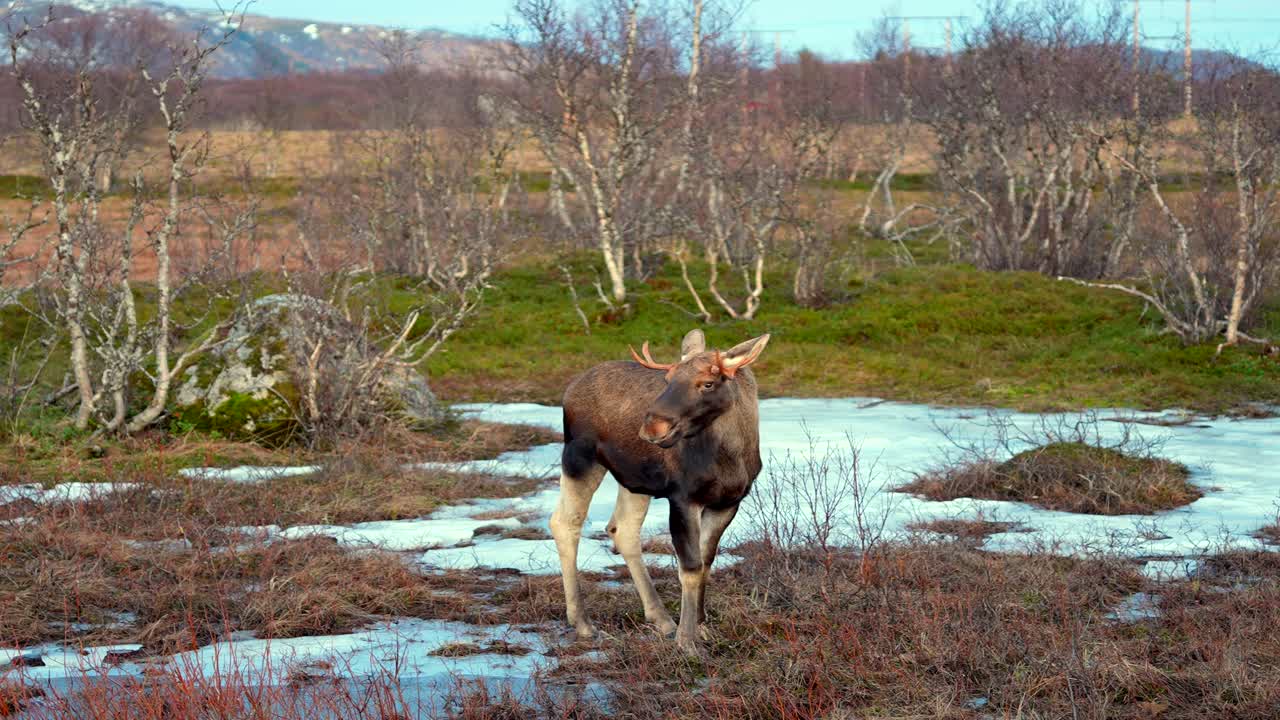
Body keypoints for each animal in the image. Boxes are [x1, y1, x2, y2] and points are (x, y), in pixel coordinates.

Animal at [550, 329, 770, 653]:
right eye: (668, 379)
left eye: (708, 383)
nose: (653, 428)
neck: (731, 456)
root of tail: (571, 388)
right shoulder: (682, 498)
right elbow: (689, 567)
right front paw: (687, 640)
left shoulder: (728, 503)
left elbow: (706, 562)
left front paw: (701, 628)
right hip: (579, 457)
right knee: (565, 523)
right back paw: (582, 623)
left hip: (634, 480)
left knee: (622, 529)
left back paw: (661, 618)